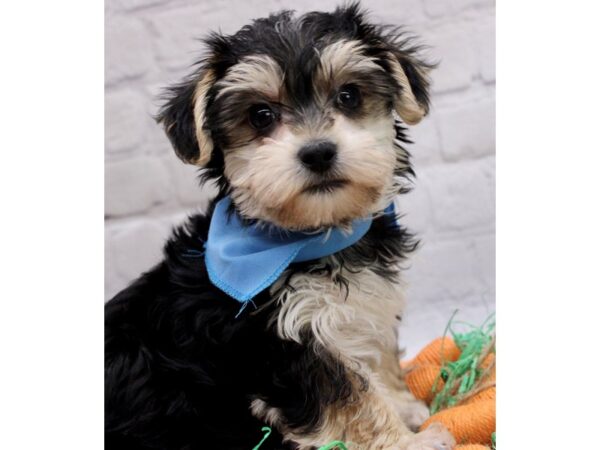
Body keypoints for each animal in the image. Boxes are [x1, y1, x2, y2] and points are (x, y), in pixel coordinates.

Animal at [105, 3, 454, 450]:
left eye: (349, 96)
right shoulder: (285, 343)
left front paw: (404, 404)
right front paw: (407, 441)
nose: (318, 152)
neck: (314, 237)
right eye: (260, 116)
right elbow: (351, 397)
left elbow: (376, 350)